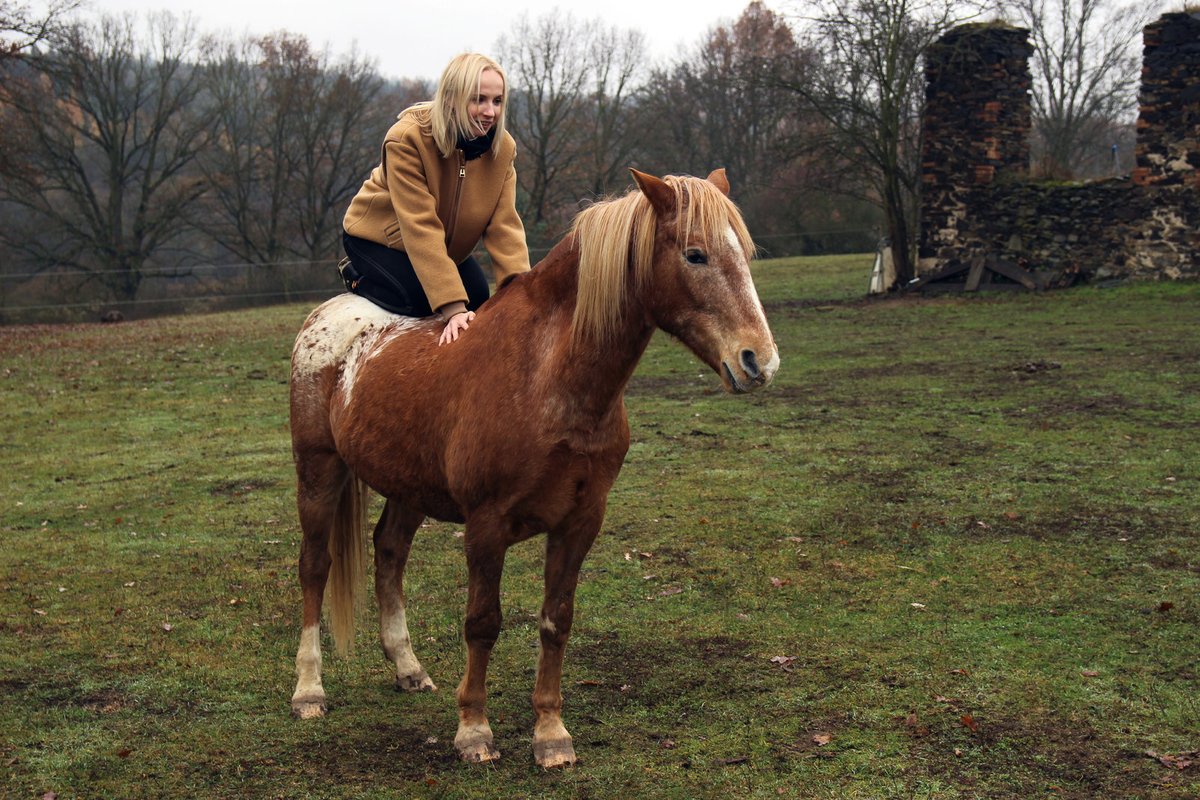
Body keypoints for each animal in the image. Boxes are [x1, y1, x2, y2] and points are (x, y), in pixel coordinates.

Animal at [286, 165, 782, 767]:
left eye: (744, 253)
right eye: (695, 255)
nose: (759, 361)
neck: (548, 374)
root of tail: (326, 318)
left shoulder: (580, 522)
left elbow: (555, 621)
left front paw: (550, 734)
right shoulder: (486, 525)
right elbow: (482, 623)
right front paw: (474, 730)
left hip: (409, 487)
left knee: (389, 552)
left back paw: (407, 668)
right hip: (318, 471)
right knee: (315, 567)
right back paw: (309, 690)